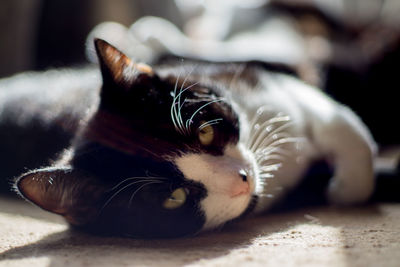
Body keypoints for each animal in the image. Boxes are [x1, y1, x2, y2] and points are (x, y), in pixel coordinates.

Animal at [0, 38, 376, 239]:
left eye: (205, 131)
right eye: (174, 197)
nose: (243, 180)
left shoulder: (261, 85)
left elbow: (336, 121)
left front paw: (345, 186)